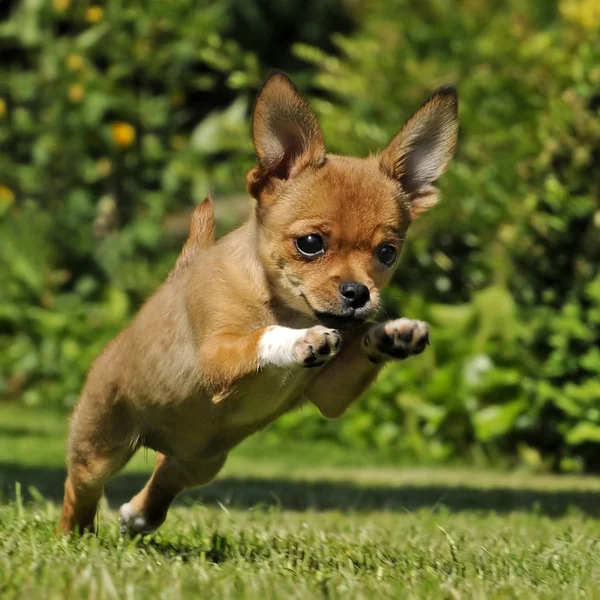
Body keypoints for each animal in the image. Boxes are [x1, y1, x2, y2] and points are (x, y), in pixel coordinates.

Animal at [58, 72, 458, 536]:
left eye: (387, 254)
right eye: (310, 244)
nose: (358, 293)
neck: (285, 307)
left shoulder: (331, 395)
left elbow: (356, 349)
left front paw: (392, 334)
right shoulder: (216, 356)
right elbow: (262, 337)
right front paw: (302, 341)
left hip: (200, 462)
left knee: (163, 480)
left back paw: (137, 515)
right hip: (101, 444)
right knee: (80, 487)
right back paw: (75, 533)